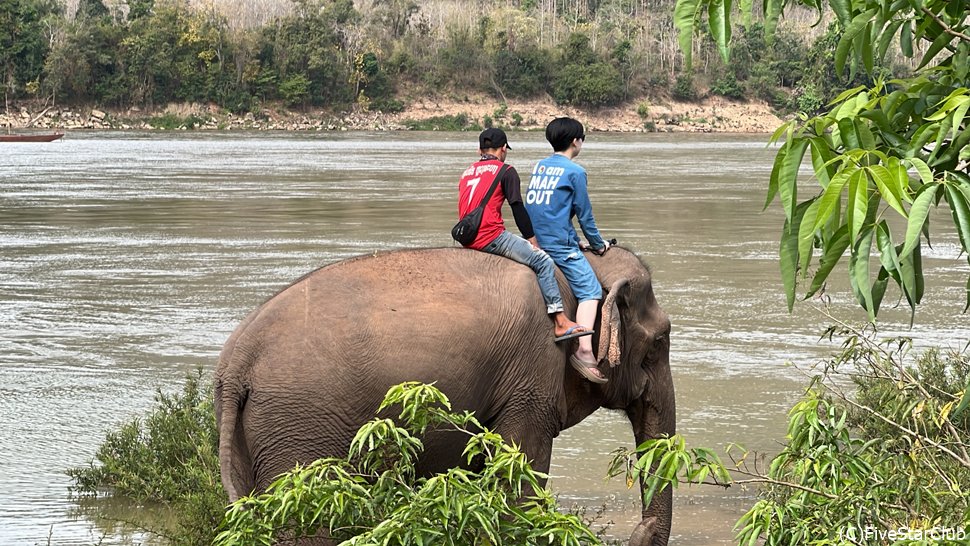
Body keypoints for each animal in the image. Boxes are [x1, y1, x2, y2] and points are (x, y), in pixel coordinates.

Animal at [215, 245, 675, 545]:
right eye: (659, 343)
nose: (639, 531)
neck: (579, 265)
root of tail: (236, 363)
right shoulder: (534, 370)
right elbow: (520, 478)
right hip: (299, 429)